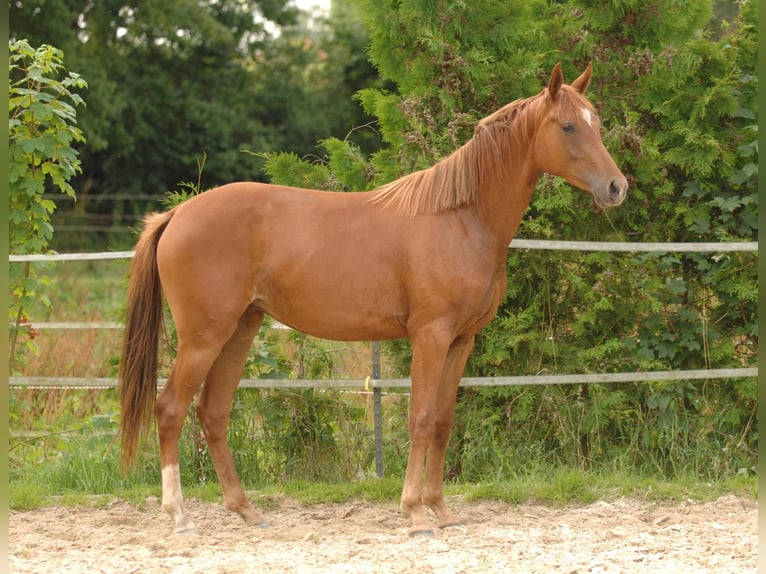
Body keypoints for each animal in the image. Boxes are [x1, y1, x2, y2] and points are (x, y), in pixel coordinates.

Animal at [117, 64, 628, 540]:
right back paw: (179, 515)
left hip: (241, 329)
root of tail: (177, 214)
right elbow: (420, 419)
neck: (462, 219)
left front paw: (443, 511)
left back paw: (247, 511)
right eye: (568, 126)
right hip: (204, 336)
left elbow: (443, 422)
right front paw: (416, 514)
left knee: (213, 412)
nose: (617, 187)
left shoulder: (461, 341)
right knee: (171, 408)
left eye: (597, 122)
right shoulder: (430, 336)